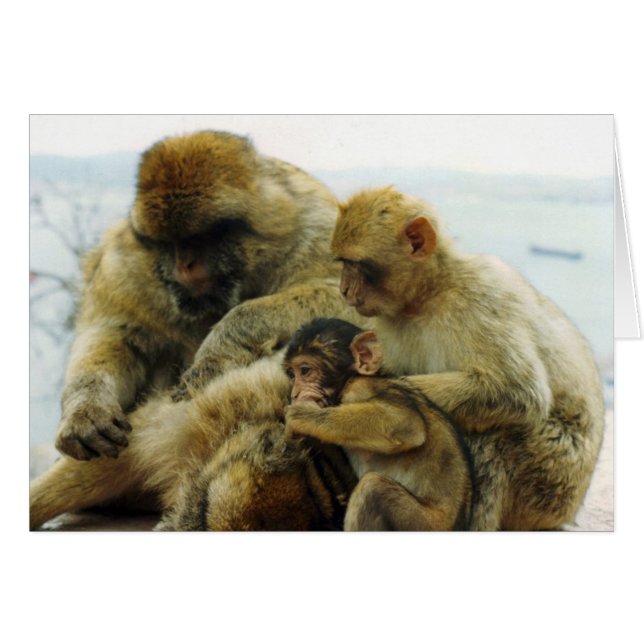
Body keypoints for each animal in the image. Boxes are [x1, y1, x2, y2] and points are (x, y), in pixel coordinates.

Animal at [30, 130, 363, 529]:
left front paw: (225, 340)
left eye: (204, 238)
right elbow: (114, 332)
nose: (184, 263)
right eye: (169, 244)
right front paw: (85, 413)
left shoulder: (314, 225)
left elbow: (353, 302)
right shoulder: (128, 259)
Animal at [283, 318, 474, 531]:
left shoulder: (359, 388)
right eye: (292, 375)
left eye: (305, 371)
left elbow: (406, 424)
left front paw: (302, 415)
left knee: (372, 487)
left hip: (423, 524)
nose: (295, 394)